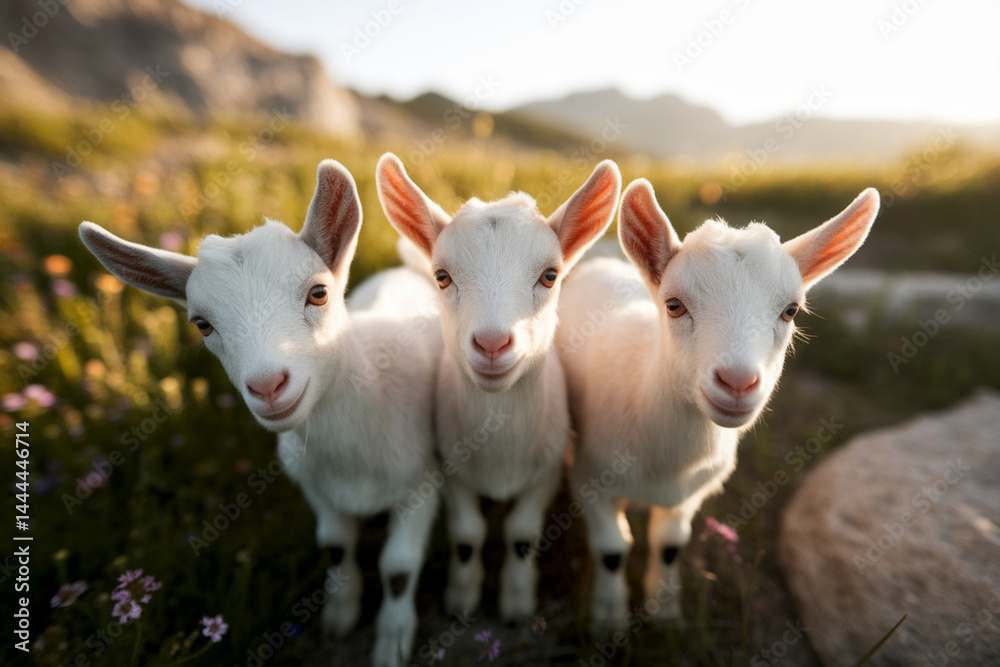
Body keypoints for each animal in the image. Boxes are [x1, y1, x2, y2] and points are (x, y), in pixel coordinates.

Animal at [79, 160, 443, 667]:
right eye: (202, 324)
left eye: (318, 293)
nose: (268, 386)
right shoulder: (316, 489)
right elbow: (335, 547)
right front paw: (339, 617)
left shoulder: (421, 483)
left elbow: (398, 568)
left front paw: (392, 640)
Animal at [376, 153, 621, 620]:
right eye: (442, 276)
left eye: (550, 275)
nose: (492, 344)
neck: (500, 451)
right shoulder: (452, 469)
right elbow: (468, 534)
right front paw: (462, 598)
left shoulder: (549, 469)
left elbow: (521, 533)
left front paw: (516, 602)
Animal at [556, 180, 879, 628]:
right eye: (674, 305)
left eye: (791, 310)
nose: (737, 382)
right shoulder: (588, 474)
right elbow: (612, 549)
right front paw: (608, 620)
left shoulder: (692, 494)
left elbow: (669, 543)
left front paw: (665, 614)